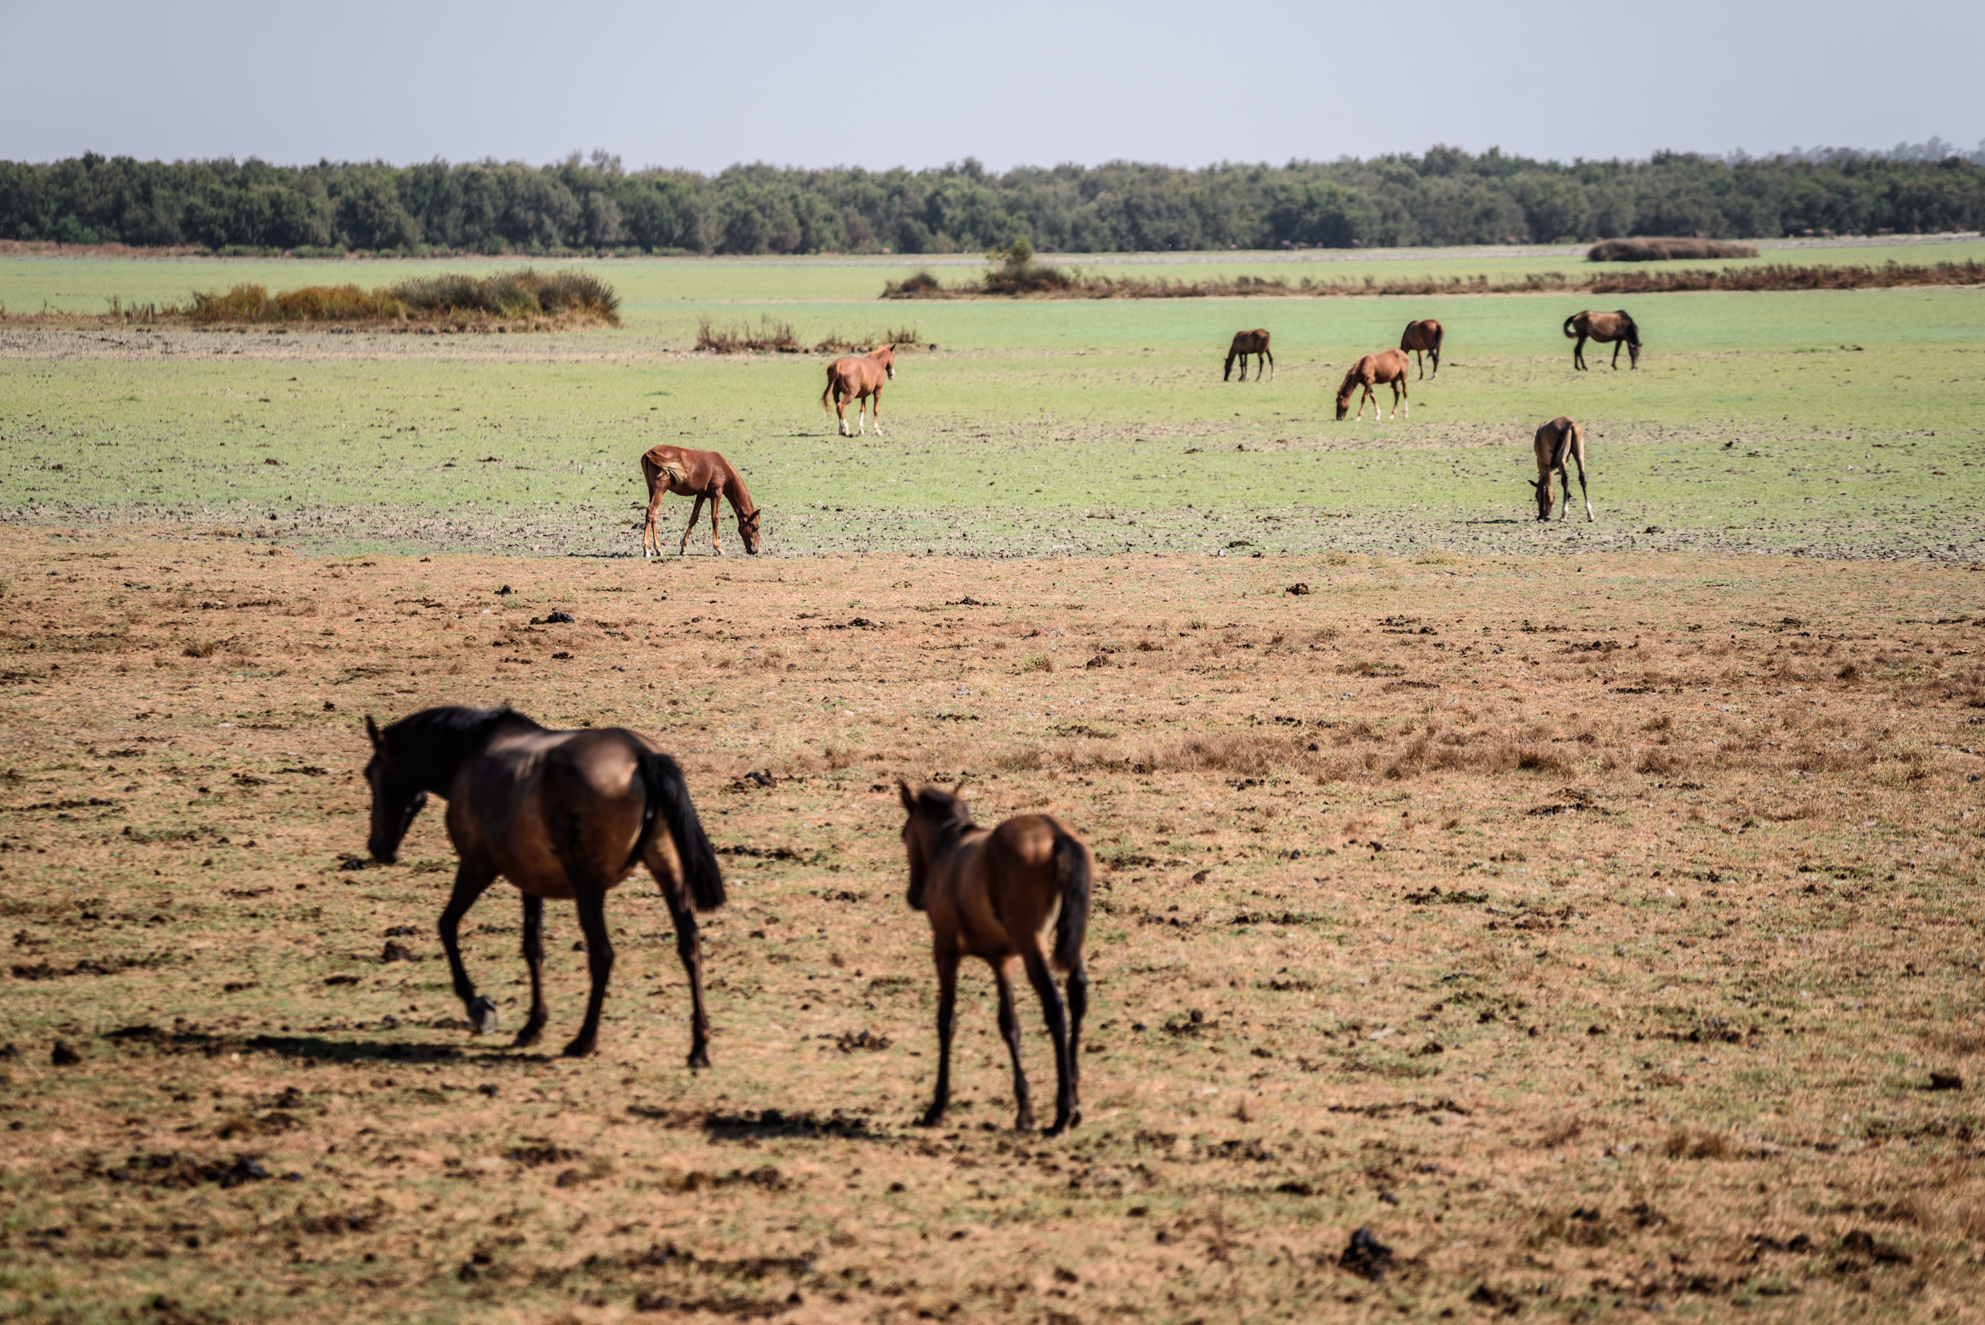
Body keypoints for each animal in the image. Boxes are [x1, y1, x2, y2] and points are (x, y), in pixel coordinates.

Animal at [361, 706, 725, 1066]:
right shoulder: (530, 879)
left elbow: (447, 925)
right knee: (689, 945)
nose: (378, 847)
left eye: (369, 773)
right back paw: (698, 1048)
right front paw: (532, 1025)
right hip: (669, 874)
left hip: (588, 886)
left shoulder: (476, 867)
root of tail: (641, 755)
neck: (471, 753)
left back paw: (584, 1040)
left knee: (602, 954)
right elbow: (533, 946)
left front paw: (478, 1005)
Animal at [897, 782, 1092, 1136]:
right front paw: (1024, 1110)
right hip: (1071, 938)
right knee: (1078, 995)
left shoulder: (945, 949)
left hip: (1032, 944)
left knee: (1055, 1006)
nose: (914, 896)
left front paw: (937, 1106)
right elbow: (1009, 1024)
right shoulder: (1003, 960)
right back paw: (1074, 1097)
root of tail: (1057, 834)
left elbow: (946, 1020)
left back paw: (1063, 1112)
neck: (950, 845)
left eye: (904, 835)